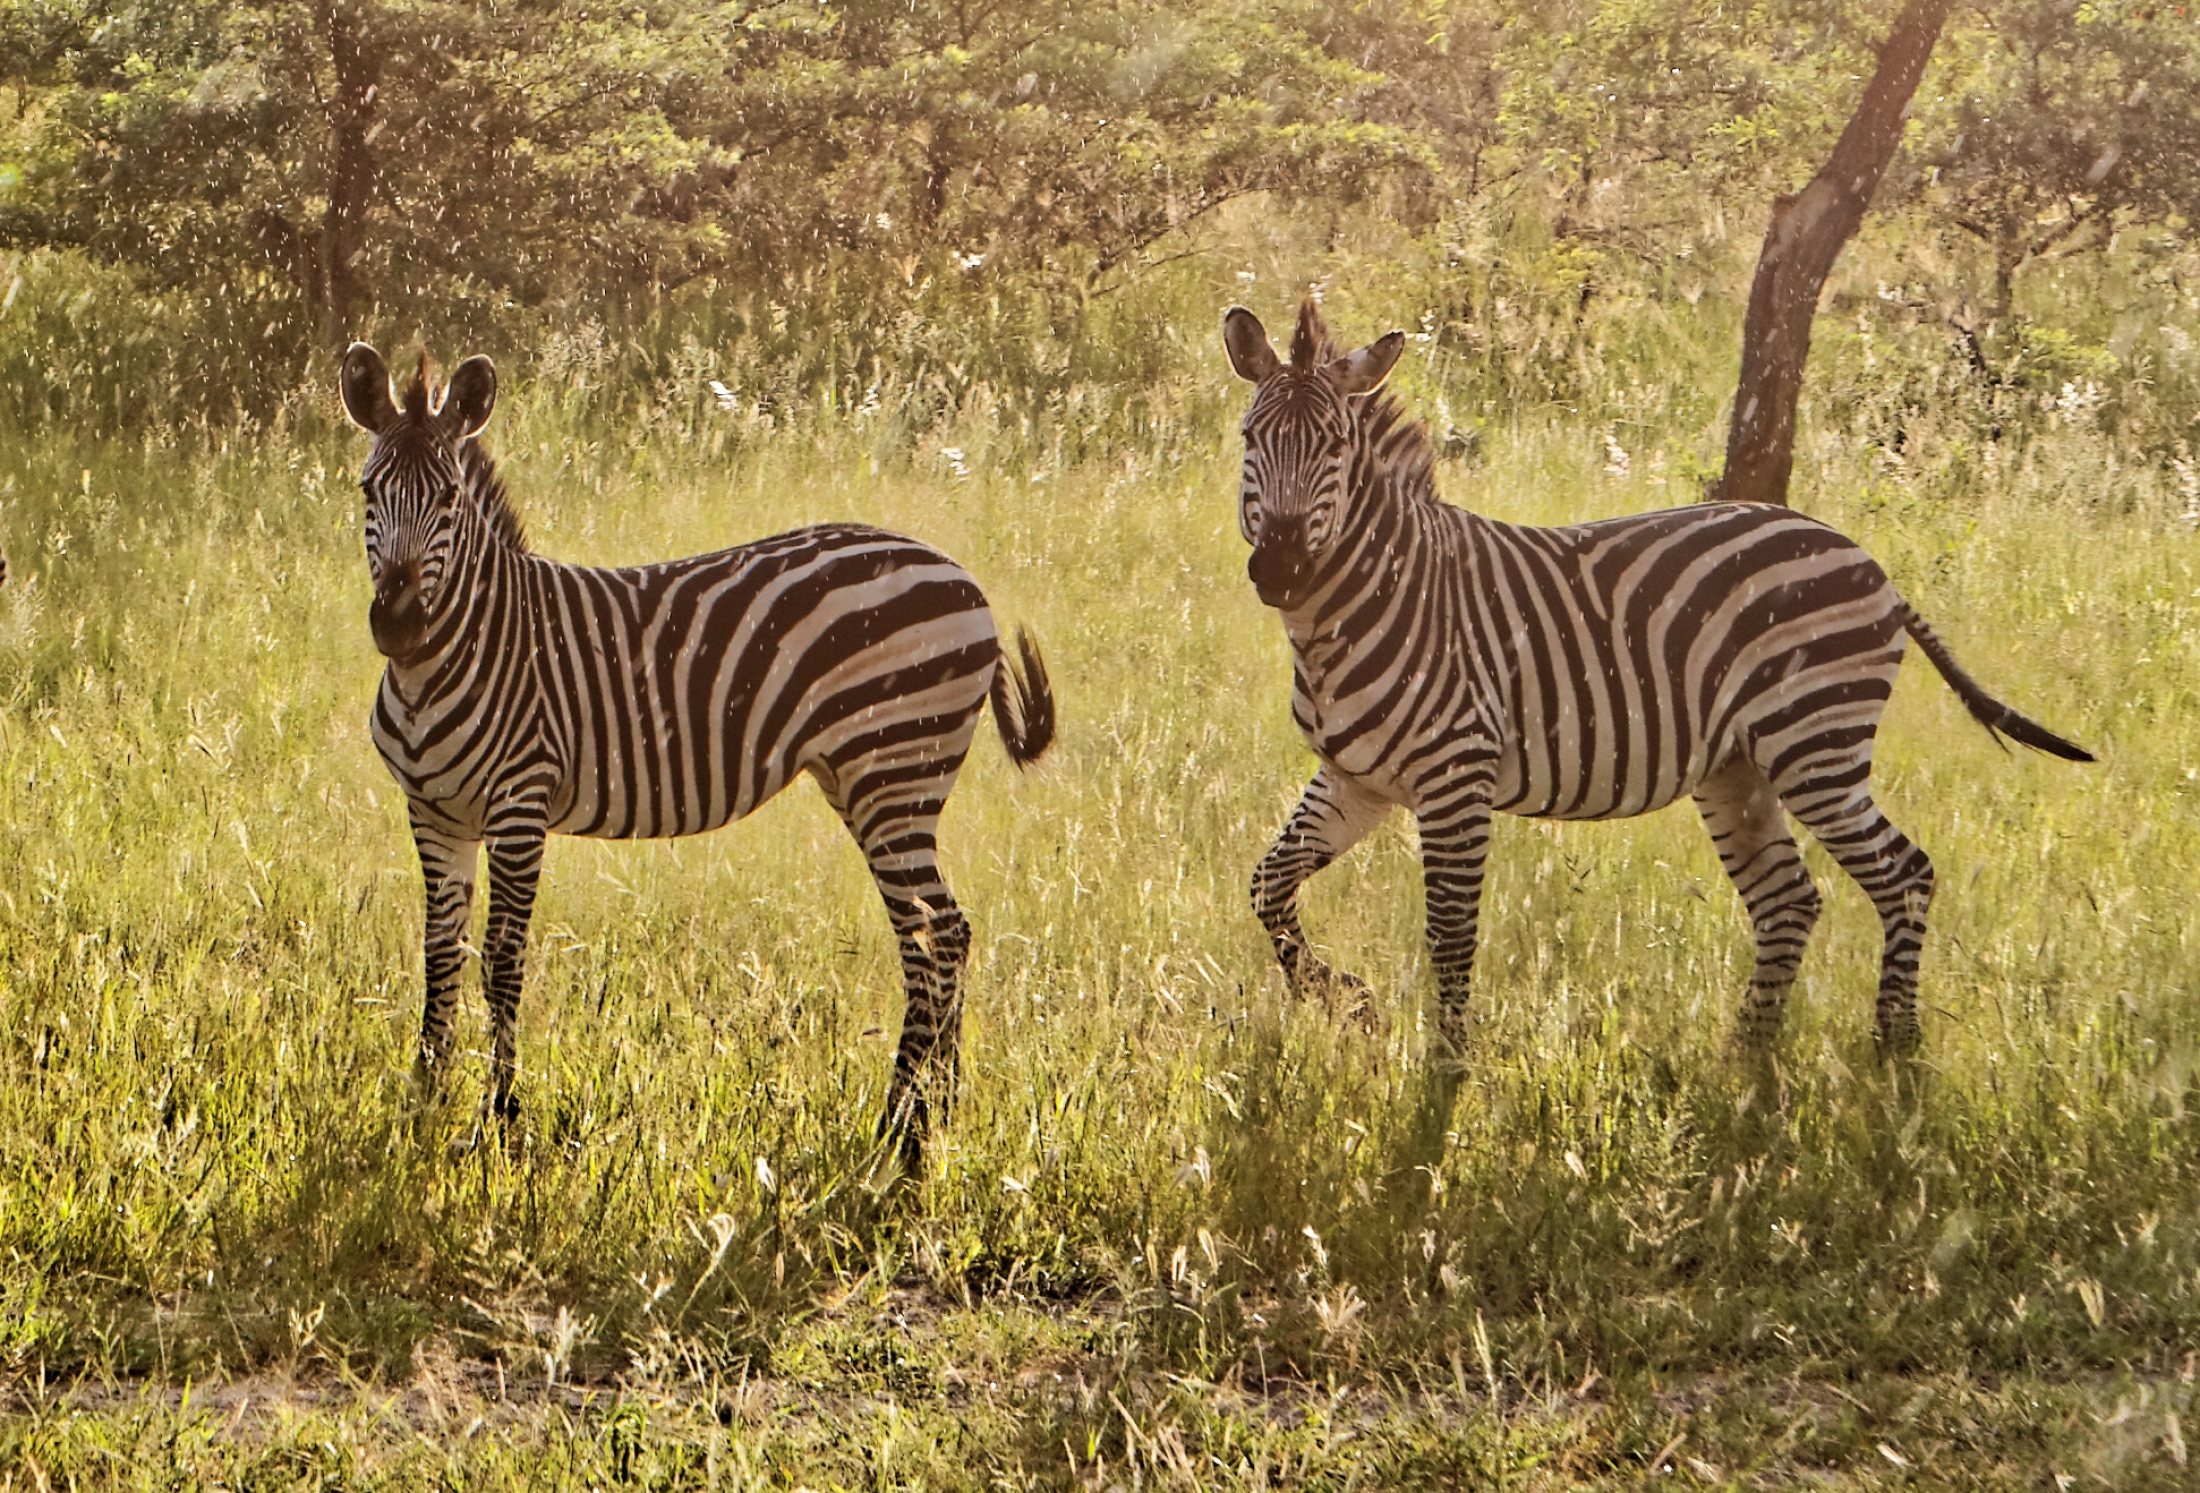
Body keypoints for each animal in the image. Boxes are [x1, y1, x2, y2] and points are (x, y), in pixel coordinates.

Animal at [341, 347, 1056, 1152]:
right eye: (369, 490)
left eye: (449, 501)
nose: (398, 624)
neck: (447, 660)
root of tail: (963, 576)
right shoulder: (435, 812)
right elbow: (440, 954)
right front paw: (423, 1101)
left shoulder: (519, 804)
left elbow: (500, 958)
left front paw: (500, 1115)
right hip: (867, 777)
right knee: (941, 934)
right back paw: (933, 1113)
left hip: (894, 771)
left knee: (934, 936)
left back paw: (902, 1125)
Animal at [1223, 296, 2094, 1055]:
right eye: (1249, 437)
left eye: (1336, 449)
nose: (1282, 569)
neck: (1354, 614)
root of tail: (1869, 561)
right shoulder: (1357, 780)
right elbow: (1268, 883)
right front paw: (1343, 997)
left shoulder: (1454, 780)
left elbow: (1449, 929)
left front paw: (1446, 1068)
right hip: (1738, 767)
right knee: (1789, 900)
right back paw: (1746, 1058)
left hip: (1815, 745)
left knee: (1905, 873)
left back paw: (1893, 1043)